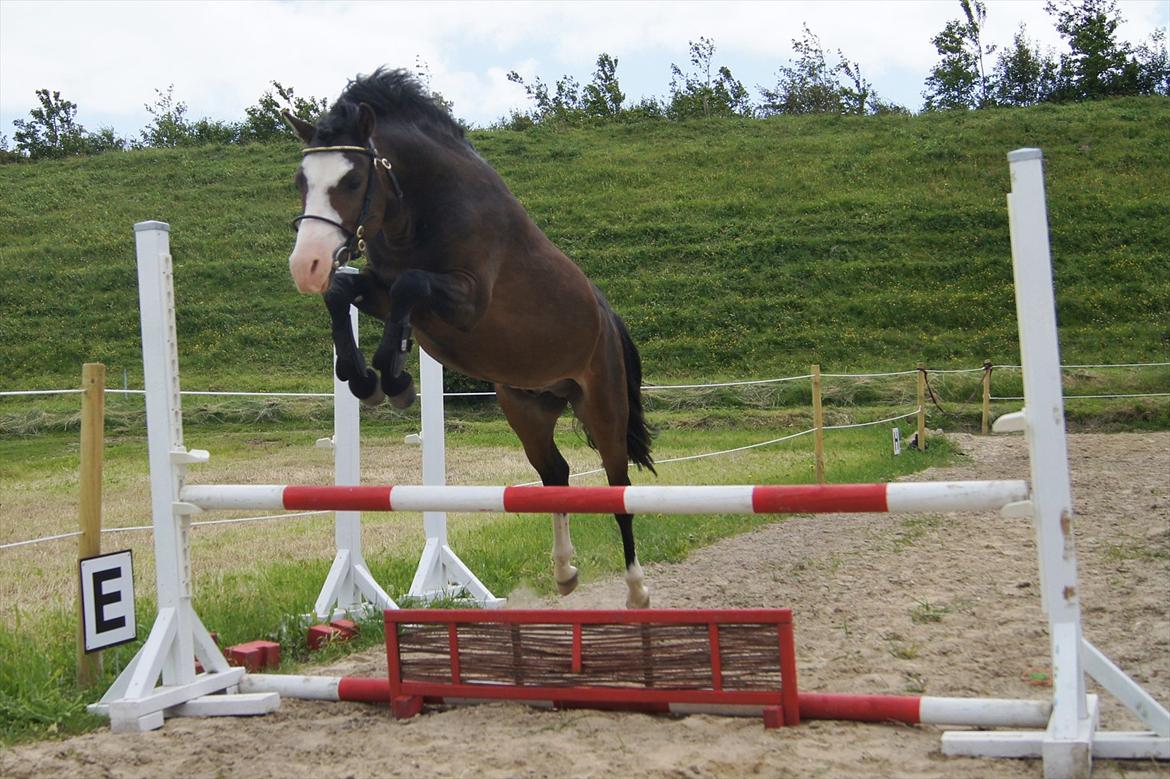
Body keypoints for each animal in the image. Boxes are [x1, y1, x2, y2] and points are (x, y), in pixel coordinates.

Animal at [284, 68, 656, 608]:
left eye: (352, 180)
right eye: (301, 181)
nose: (306, 265)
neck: (413, 211)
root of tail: (607, 317)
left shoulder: (466, 301)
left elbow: (409, 285)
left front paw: (394, 379)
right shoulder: (379, 290)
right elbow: (343, 292)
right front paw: (364, 379)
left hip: (603, 405)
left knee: (616, 483)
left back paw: (636, 588)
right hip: (526, 407)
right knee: (556, 475)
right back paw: (565, 572)